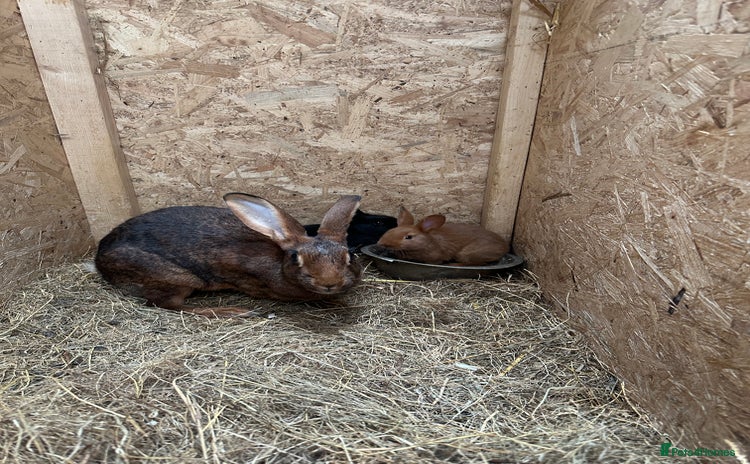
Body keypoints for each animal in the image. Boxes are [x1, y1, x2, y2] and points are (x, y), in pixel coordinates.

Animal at [95, 193, 363, 317]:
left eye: (349, 256)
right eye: (296, 257)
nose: (329, 282)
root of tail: (99, 259)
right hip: (178, 279)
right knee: (167, 304)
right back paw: (232, 312)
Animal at [373, 206, 510, 265]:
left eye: (409, 237)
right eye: (392, 230)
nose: (381, 243)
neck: (428, 242)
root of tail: (504, 247)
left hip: (468, 254)